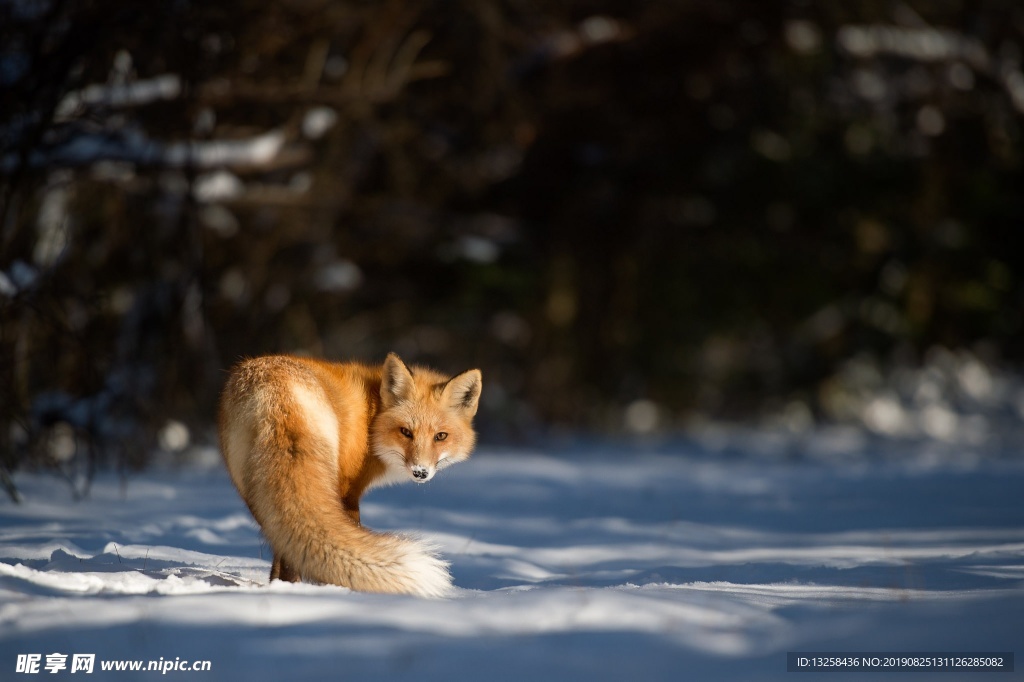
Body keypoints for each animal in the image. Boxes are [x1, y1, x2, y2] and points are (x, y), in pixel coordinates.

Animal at [216, 350, 479, 593]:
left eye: (441, 436)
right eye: (406, 432)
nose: (420, 472)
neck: (371, 417)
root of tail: (274, 393)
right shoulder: (349, 491)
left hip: (254, 491)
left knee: (280, 541)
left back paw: (280, 588)